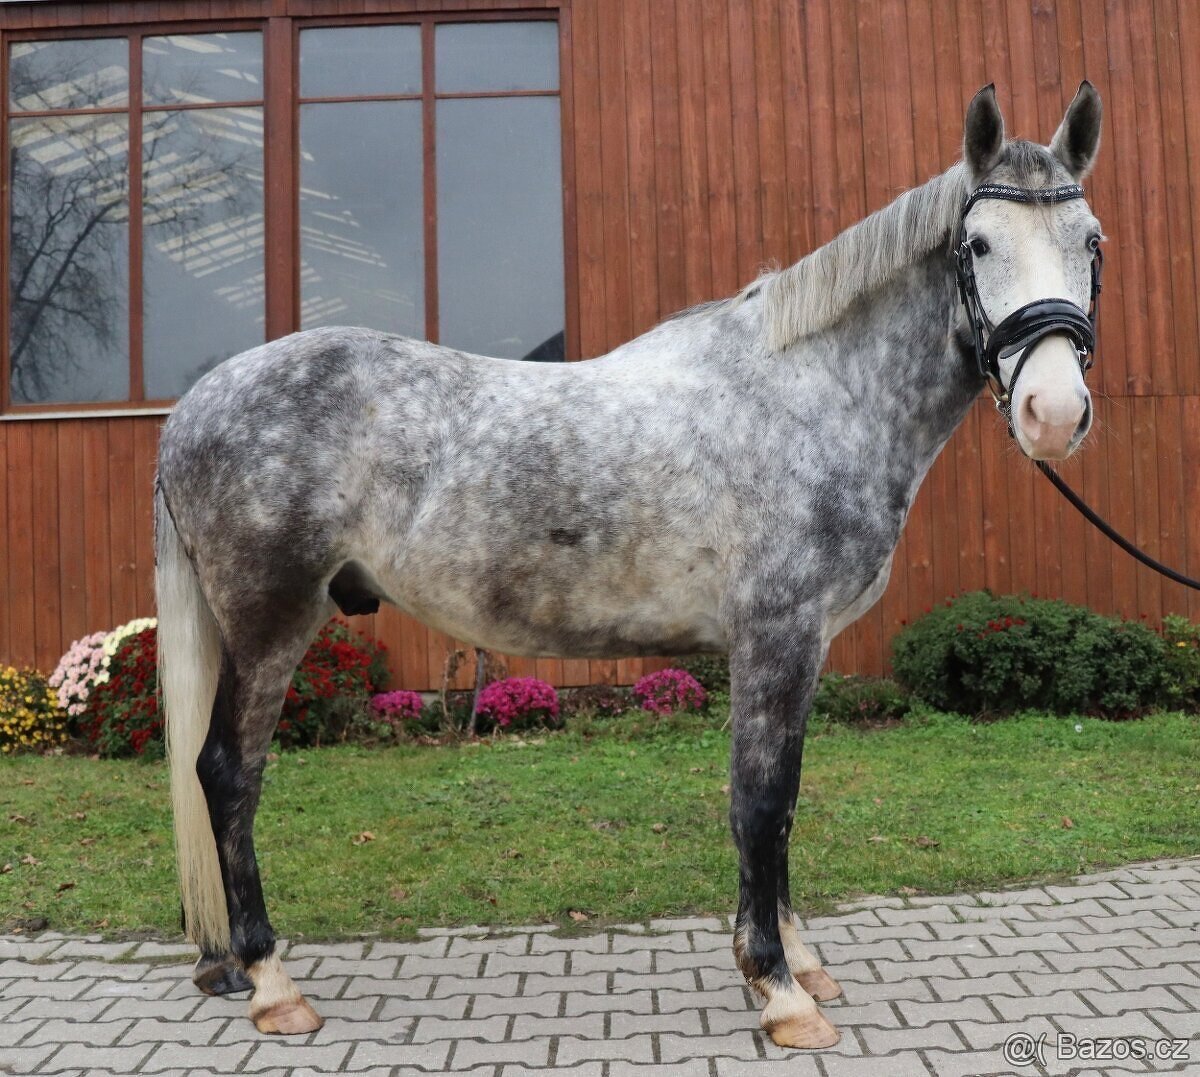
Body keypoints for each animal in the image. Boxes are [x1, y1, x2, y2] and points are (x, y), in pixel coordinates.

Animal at [156, 82, 1103, 1049]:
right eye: (977, 246)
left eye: (1092, 242)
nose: (1055, 411)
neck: (812, 392)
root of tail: (196, 404)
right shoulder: (775, 638)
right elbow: (760, 803)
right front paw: (779, 987)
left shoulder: (804, 648)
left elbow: (785, 803)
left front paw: (798, 962)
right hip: (270, 623)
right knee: (227, 773)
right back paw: (272, 980)